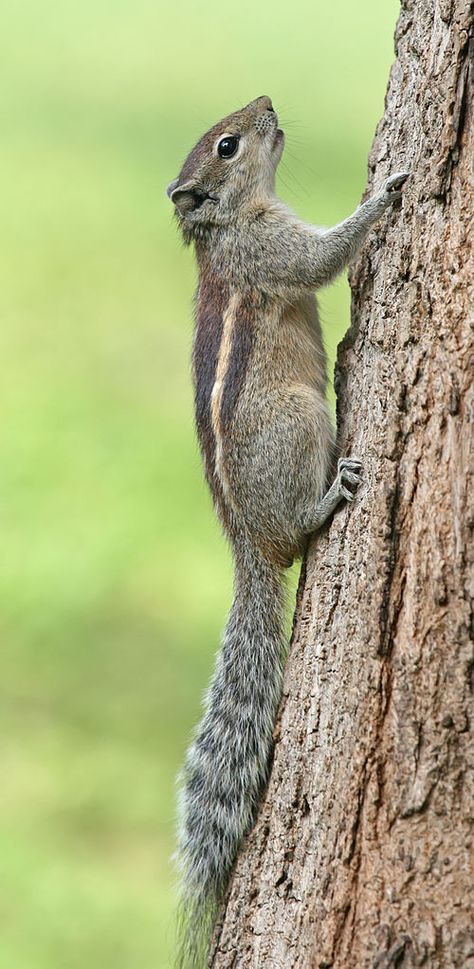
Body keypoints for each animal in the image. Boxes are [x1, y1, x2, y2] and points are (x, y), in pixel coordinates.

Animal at [167, 94, 408, 964]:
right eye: (228, 145)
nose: (268, 101)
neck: (230, 225)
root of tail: (249, 545)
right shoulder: (273, 249)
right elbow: (321, 259)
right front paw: (387, 192)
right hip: (302, 419)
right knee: (304, 522)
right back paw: (331, 494)